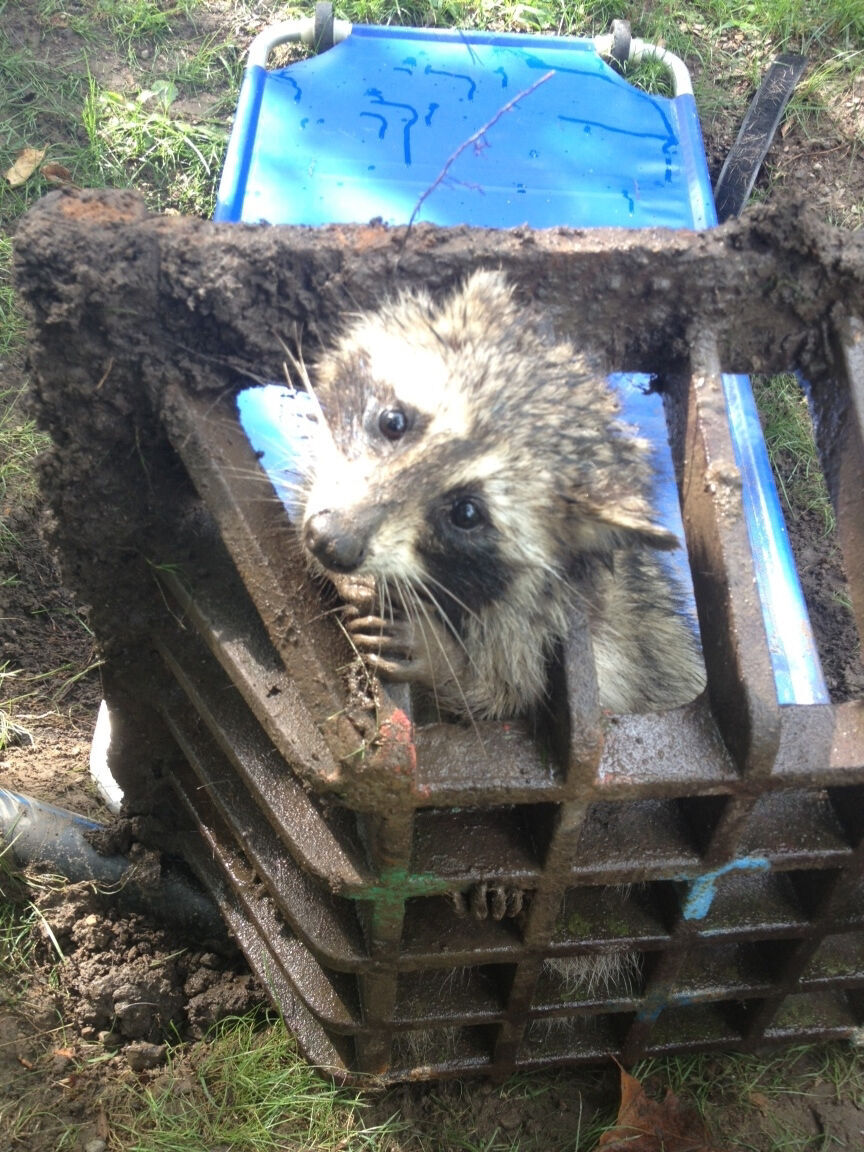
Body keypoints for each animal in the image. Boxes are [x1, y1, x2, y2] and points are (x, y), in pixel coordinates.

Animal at [299, 269, 704, 721]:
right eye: (393, 422)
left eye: (467, 513)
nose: (331, 541)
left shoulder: (587, 642)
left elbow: (512, 698)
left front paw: (446, 663)